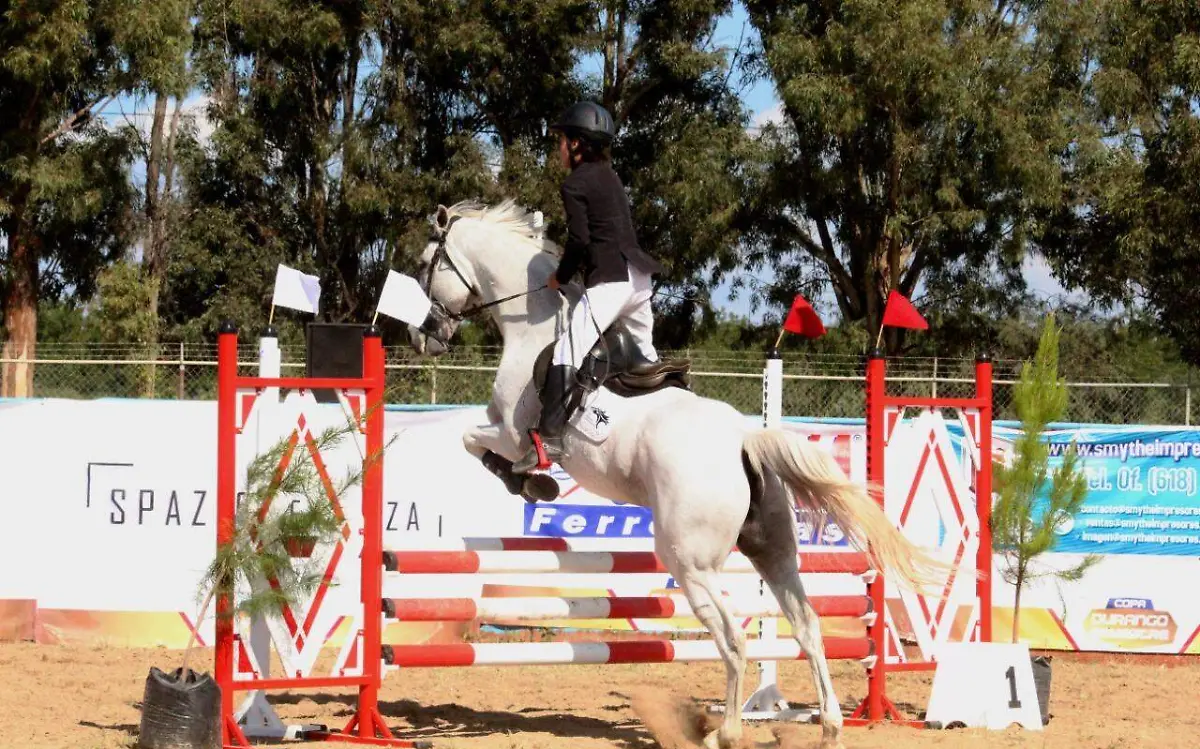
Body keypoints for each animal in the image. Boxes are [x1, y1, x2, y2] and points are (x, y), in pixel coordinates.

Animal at [404, 199, 951, 749]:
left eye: (425, 264)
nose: (421, 336)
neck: (534, 325)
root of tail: (743, 438)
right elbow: (472, 439)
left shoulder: (510, 430)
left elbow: (475, 441)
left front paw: (529, 480)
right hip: (772, 551)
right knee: (806, 625)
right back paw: (831, 725)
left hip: (690, 561)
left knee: (733, 638)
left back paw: (723, 733)